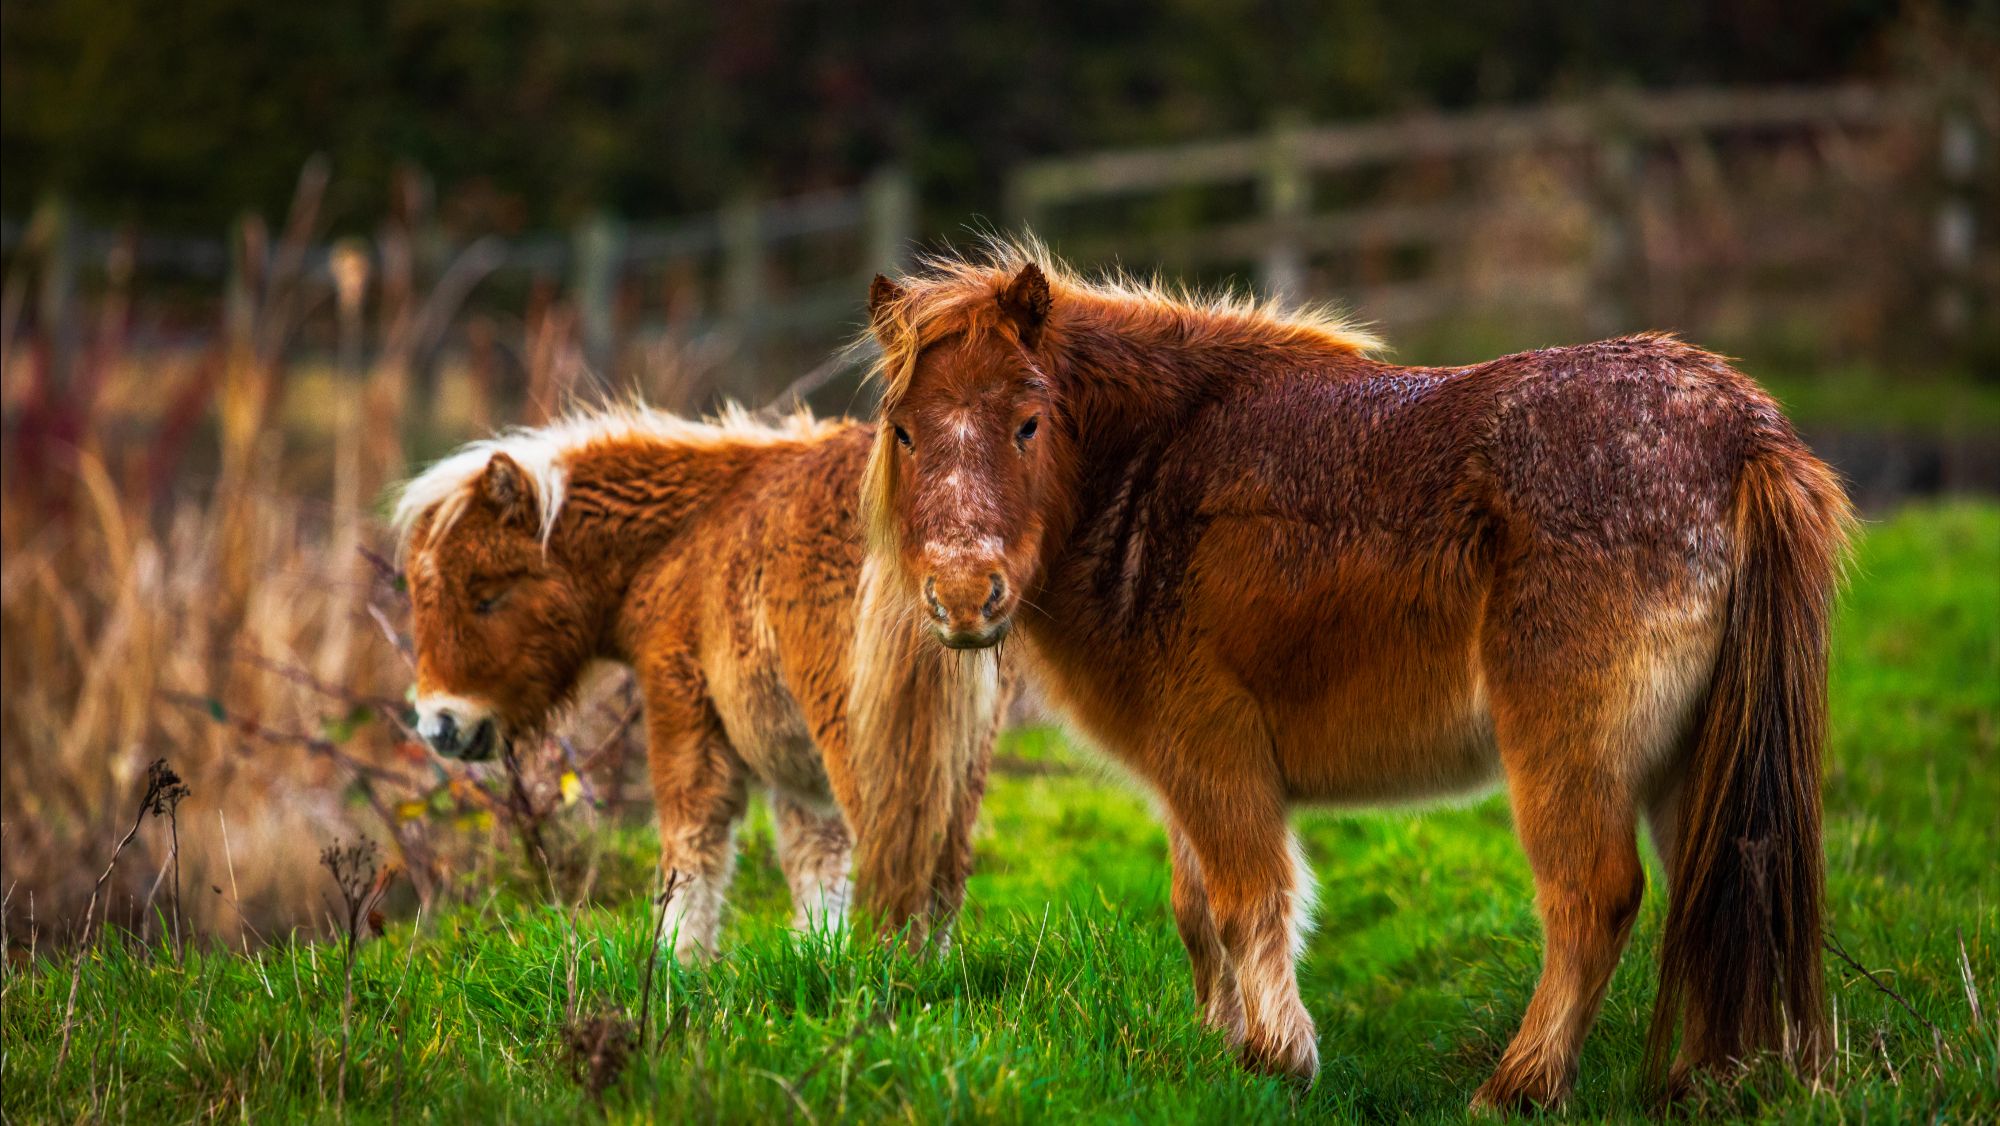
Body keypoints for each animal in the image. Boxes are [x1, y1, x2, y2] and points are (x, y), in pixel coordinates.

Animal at [392, 404, 1007, 959]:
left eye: (486, 597)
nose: (439, 725)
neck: (684, 537)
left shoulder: (682, 703)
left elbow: (692, 846)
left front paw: (676, 968)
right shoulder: (795, 761)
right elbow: (817, 860)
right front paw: (816, 956)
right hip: (961, 750)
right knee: (944, 866)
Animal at [858, 242, 1852, 1109]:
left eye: (1027, 423)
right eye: (903, 432)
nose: (962, 597)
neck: (1149, 482)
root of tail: (1745, 433)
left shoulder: (1213, 752)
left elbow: (1247, 902)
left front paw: (1276, 1059)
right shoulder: (1183, 771)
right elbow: (1196, 911)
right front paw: (1218, 1049)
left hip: (1570, 755)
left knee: (1594, 899)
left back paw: (1518, 1089)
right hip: (1699, 756)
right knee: (1725, 887)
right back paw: (1711, 1082)